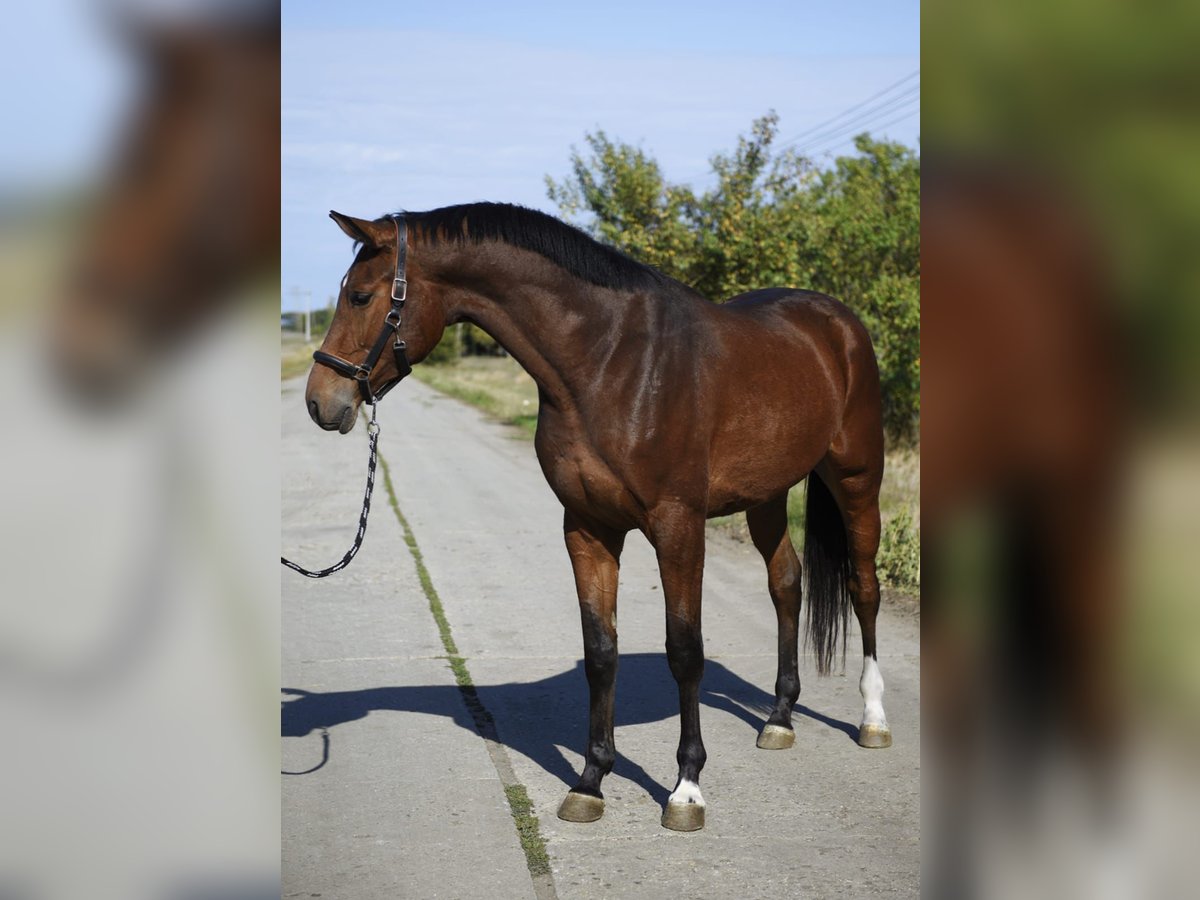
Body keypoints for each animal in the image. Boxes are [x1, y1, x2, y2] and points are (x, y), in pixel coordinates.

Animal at [303, 202, 890, 831]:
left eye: (360, 296)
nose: (320, 401)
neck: (611, 363)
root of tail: (837, 322)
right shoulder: (587, 527)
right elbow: (600, 650)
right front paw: (590, 781)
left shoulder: (678, 526)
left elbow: (684, 651)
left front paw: (686, 789)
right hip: (768, 495)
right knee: (786, 582)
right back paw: (779, 719)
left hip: (857, 480)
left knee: (863, 586)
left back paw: (873, 719)